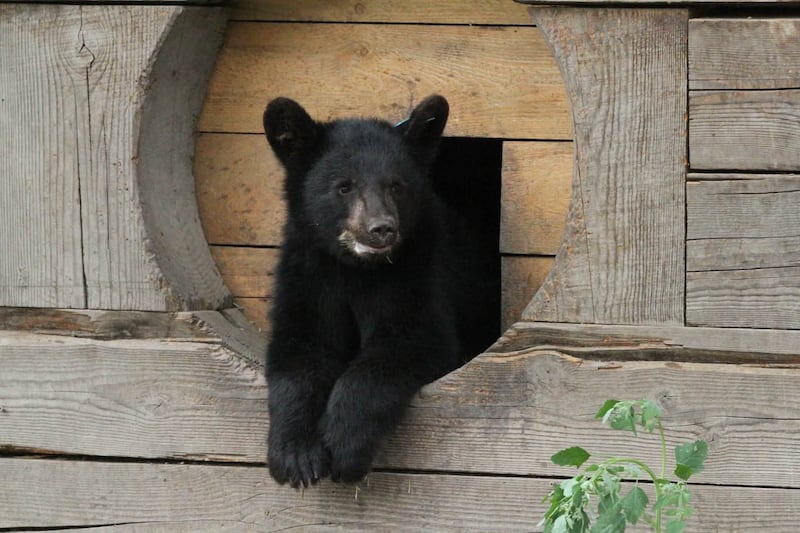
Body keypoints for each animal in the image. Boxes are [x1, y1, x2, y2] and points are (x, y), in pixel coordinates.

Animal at [263, 94, 499, 488]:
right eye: (344, 186)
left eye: (396, 186)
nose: (381, 229)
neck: (357, 270)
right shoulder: (308, 273)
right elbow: (299, 349)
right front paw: (296, 456)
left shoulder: (418, 271)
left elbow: (408, 344)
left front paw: (343, 445)